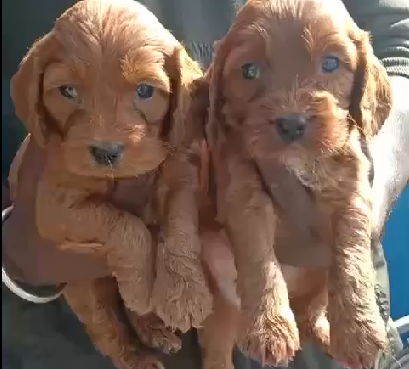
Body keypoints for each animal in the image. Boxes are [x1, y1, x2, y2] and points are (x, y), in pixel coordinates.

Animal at [9, 1, 212, 366]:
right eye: (68, 91)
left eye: (145, 90)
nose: (106, 152)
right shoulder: (54, 208)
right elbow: (126, 226)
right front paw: (144, 287)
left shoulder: (180, 175)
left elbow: (180, 225)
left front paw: (185, 292)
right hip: (85, 288)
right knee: (107, 329)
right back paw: (137, 354)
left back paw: (153, 327)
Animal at [201, 0, 392, 366]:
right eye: (249, 71)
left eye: (330, 63)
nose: (291, 123)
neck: (299, 164)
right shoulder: (241, 186)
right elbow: (258, 253)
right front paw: (269, 327)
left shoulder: (353, 191)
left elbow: (351, 254)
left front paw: (359, 330)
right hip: (223, 306)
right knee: (216, 349)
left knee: (310, 311)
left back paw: (325, 332)